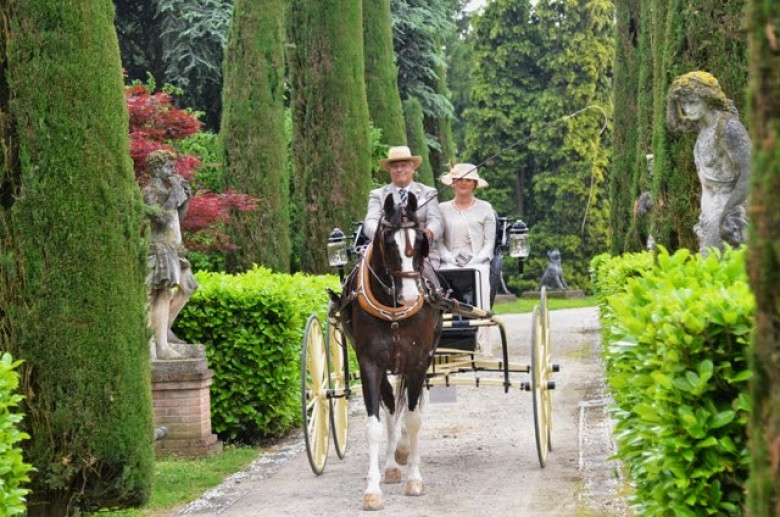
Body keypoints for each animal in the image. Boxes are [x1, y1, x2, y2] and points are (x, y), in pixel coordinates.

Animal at [334, 191, 444, 510]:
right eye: (387, 239)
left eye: (420, 240)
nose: (410, 296)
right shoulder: (370, 364)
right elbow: (375, 423)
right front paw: (373, 490)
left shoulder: (418, 362)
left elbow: (414, 419)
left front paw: (414, 479)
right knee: (391, 406)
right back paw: (393, 464)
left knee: (408, 407)